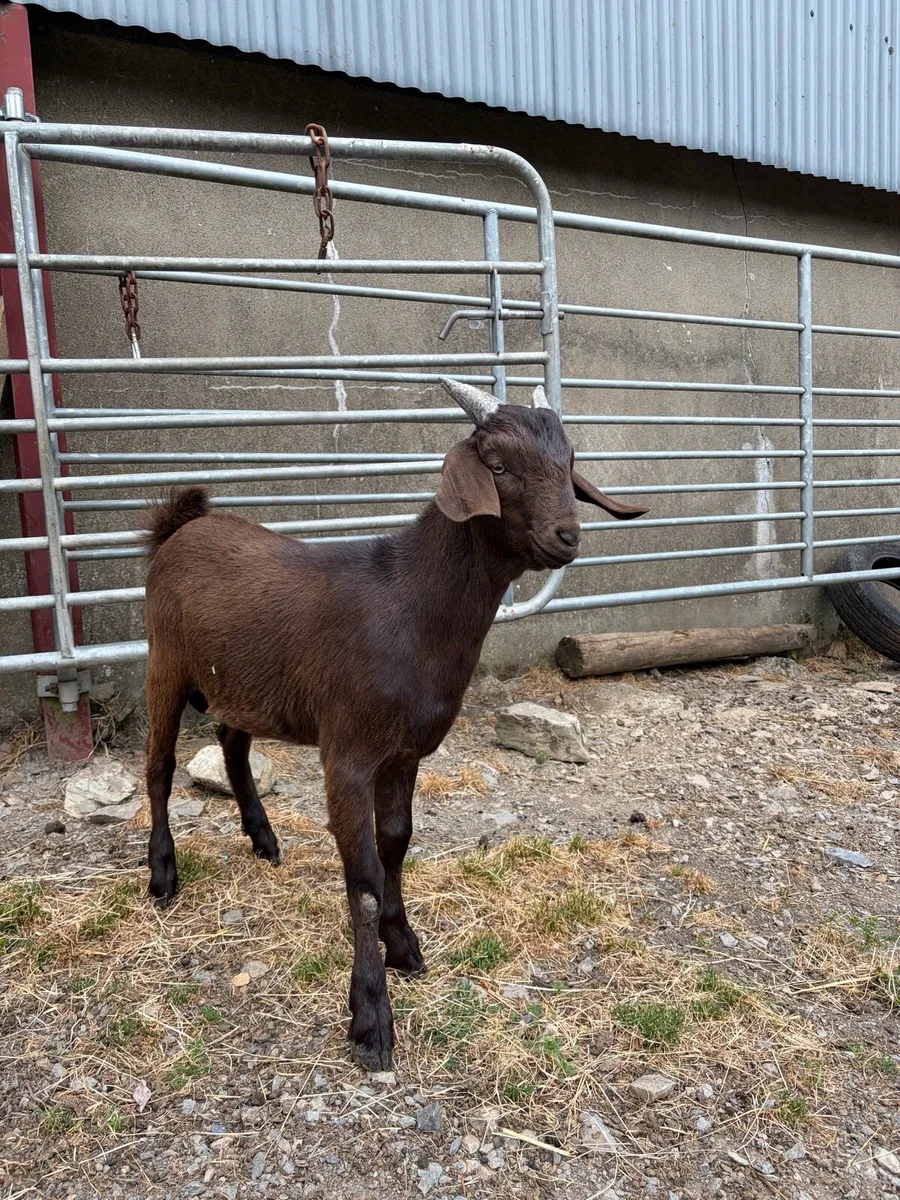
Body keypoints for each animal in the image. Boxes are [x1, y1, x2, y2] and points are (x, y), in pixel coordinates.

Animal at [143, 378, 647, 1070]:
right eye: (495, 465)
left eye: (568, 460)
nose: (567, 535)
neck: (411, 603)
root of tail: (181, 526)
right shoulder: (349, 754)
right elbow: (362, 879)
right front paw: (371, 1017)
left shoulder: (405, 753)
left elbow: (396, 846)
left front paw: (404, 945)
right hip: (165, 662)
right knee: (160, 764)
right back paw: (162, 874)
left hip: (240, 679)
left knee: (231, 740)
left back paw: (263, 839)